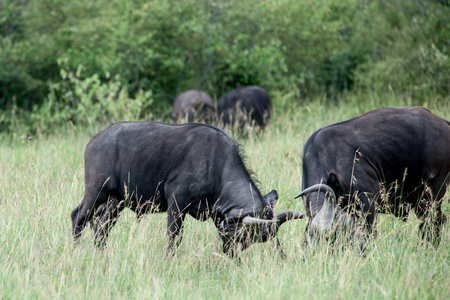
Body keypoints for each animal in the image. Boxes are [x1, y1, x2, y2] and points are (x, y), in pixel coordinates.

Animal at [70, 121, 302, 255]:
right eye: (243, 237)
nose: (232, 255)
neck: (215, 163)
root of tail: (95, 139)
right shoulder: (176, 203)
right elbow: (174, 236)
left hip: (116, 201)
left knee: (101, 226)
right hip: (96, 191)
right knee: (79, 217)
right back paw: (75, 250)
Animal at [296, 106, 450, 250]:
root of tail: (444, 124)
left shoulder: (368, 201)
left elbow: (370, 231)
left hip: (431, 195)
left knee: (434, 222)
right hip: (419, 200)